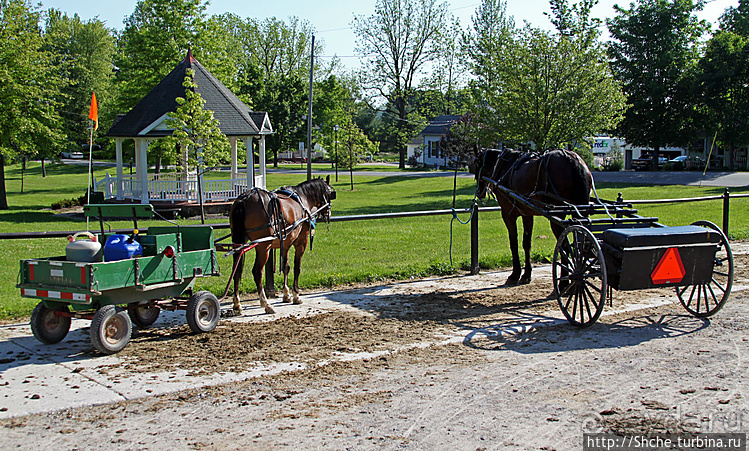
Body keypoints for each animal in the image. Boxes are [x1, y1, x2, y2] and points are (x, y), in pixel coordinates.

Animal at [228, 177, 334, 314]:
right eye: (329, 193)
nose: (328, 214)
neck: (302, 199)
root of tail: (244, 199)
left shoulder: (286, 243)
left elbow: (285, 267)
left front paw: (286, 294)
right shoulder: (301, 243)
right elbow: (297, 268)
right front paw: (296, 295)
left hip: (238, 242)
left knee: (236, 270)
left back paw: (237, 303)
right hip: (263, 247)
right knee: (257, 271)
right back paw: (265, 303)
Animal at [474, 149, 592, 286]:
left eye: (477, 164)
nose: (480, 192)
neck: (503, 165)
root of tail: (570, 158)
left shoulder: (508, 214)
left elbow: (513, 243)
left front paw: (515, 274)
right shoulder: (527, 214)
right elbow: (526, 243)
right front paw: (526, 274)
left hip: (558, 217)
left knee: (564, 246)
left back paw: (564, 282)